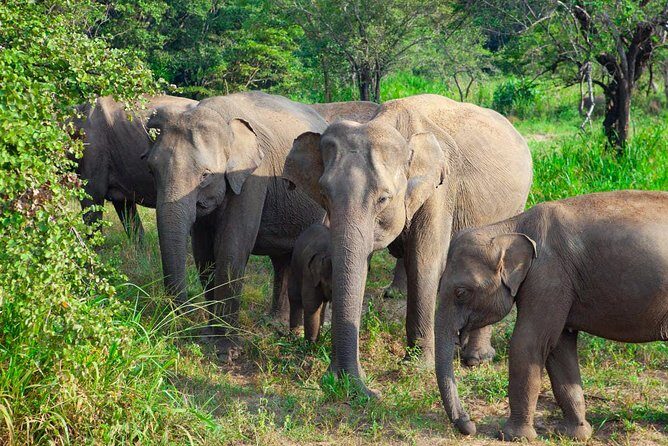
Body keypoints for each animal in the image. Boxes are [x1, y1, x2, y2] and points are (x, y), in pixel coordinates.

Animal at [284, 94, 533, 395]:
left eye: (383, 198)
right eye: (324, 194)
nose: (353, 381)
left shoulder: (441, 186)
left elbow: (425, 261)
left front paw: (416, 366)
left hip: (515, 205)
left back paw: (476, 359)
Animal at [435, 190, 668, 441]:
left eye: (461, 293)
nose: (469, 425)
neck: (510, 227)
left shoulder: (548, 277)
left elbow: (528, 343)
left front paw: (513, 436)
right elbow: (558, 347)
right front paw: (575, 434)